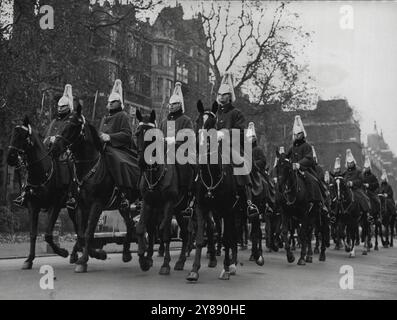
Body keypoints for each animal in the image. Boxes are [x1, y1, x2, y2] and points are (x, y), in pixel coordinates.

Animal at [6, 116, 81, 268]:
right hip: (71, 208)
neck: (42, 171)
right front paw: (29, 259)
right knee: (77, 227)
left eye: (22, 136)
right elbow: (33, 234)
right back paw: (76, 252)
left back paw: (75, 252)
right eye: (12, 134)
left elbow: (47, 234)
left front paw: (62, 252)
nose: (10, 157)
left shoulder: (55, 205)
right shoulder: (32, 206)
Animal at [50, 106, 138, 272]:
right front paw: (96, 255)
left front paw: (84, 259)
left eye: (73, 125)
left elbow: (89, 231)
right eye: (61, 123)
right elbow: (81, 233)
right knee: (131, 225)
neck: (89, 167)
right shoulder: (80, 206)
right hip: (124, 206)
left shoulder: (96, 205)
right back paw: (127, 253)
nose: (54, 148)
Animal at [135, 110, 190, 276]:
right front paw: (143, 260)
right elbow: (142, 228)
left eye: (153, 137)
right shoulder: (148, 202)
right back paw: (180, 261)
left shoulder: (168, 204)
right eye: (137, 133)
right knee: (185, 234)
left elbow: (164, 233)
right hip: (179, 210)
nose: (141, 162)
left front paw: (165, 264)